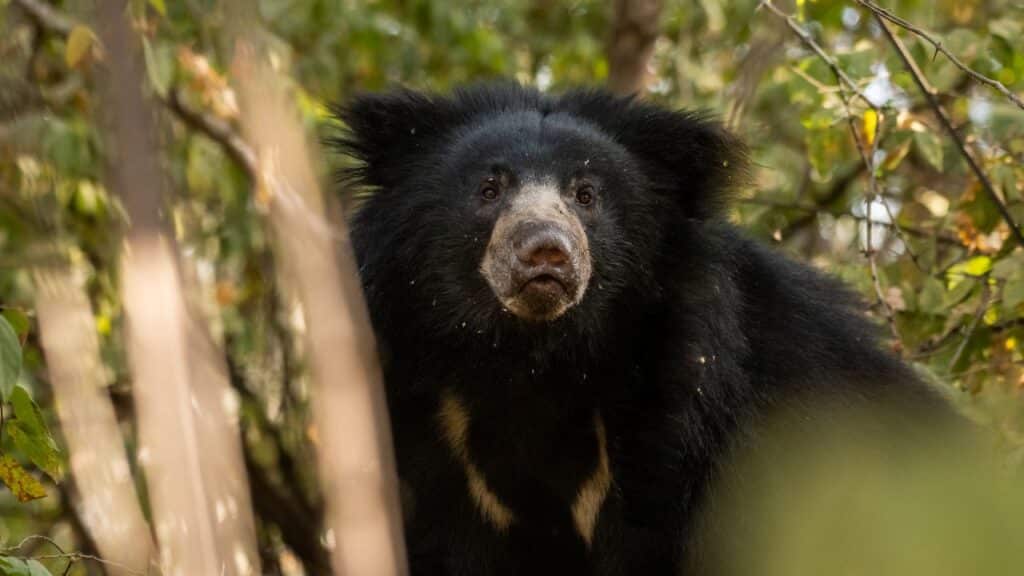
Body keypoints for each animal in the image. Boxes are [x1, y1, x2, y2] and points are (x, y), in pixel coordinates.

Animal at [331, 82, 948, 575]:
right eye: (489, 189)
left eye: (586, 194)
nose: (545, 252)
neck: (533, 360)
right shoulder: (427, 426)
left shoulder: (691, 417)